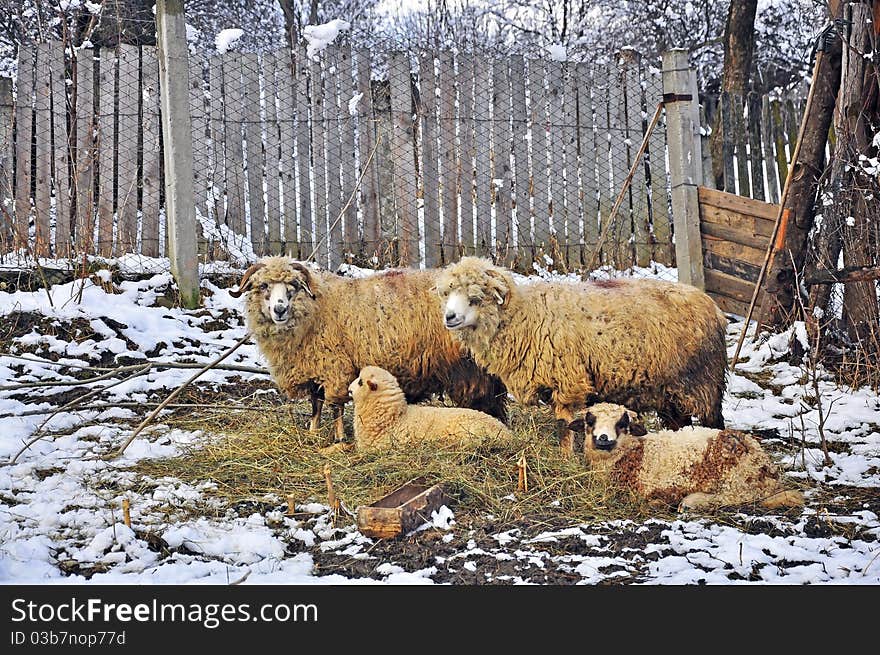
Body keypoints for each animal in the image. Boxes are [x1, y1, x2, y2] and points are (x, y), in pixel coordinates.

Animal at [230, 256, 508, 440]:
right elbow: (315, 405)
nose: (279, 309)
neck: (316, 308)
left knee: (485, 401)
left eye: (294, 286)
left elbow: (335, 406)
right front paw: (312, 433)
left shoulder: (335, 366)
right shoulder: (314, 368)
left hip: (470, 369)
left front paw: (340, 438)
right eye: (263, 286)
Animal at [434, 258, 728, 454]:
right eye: (447, 293)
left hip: (702, 382)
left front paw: (565, 458)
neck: (523, 318)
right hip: (668, 389)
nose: (449, 317)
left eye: (475, 297)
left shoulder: (567, 381)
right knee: (680, 422)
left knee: (713, 421)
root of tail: (714, 308)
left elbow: (564, 426)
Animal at [572, 402, 804, 510]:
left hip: (737, 478)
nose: (603, 438)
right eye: (590, 422)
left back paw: (691, 502)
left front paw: (661, 501)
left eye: (622, 424)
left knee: (739, 497)